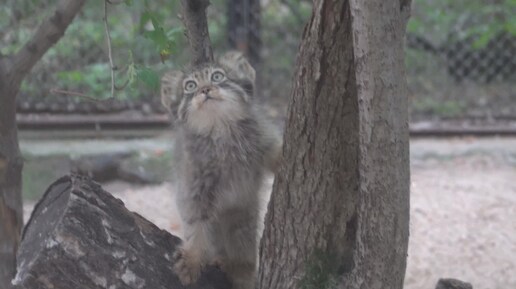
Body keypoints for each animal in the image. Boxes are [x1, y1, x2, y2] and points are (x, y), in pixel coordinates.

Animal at [161, 50, 282, 286]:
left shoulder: (264, 140)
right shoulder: (193, 188)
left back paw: (241, 267)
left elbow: (277, 151)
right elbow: (196, 225)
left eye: (217, 77)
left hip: (241, 215)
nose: (205, 89)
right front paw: (193, 258)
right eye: (190, 86)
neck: (219, 129)